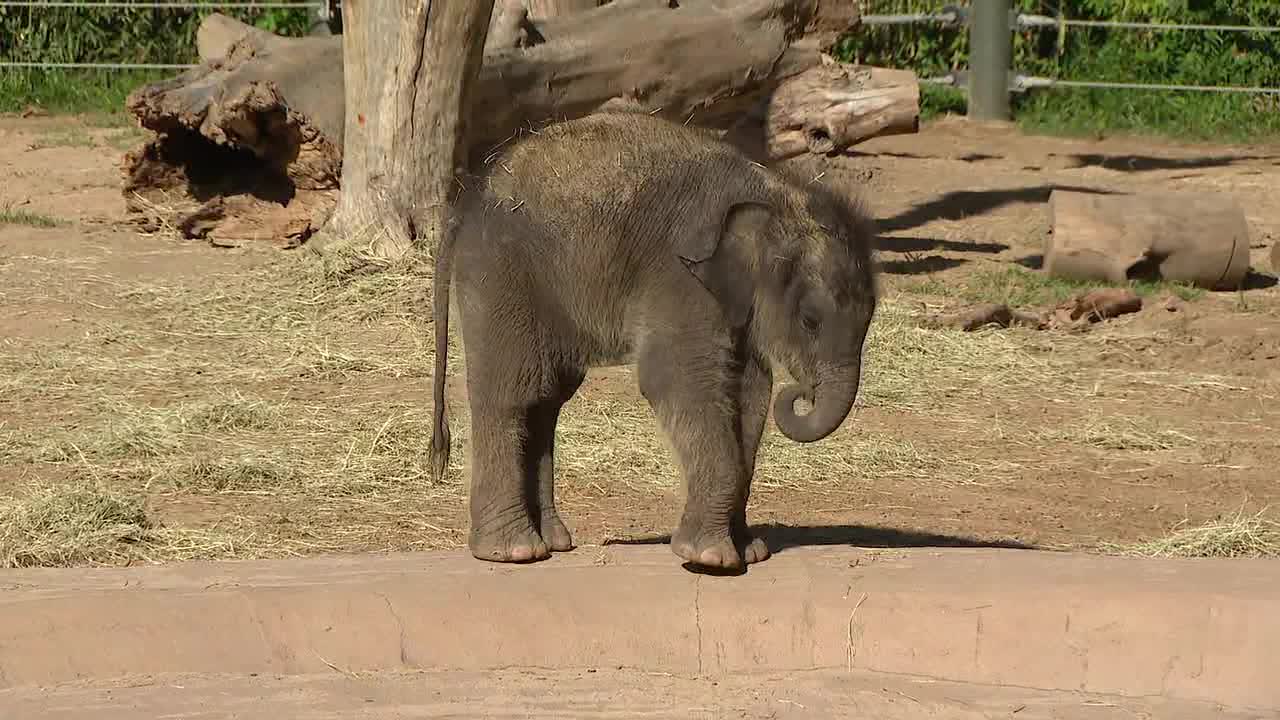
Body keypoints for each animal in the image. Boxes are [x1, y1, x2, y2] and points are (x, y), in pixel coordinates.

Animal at [428, 111, 878, 571]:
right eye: (810, 321)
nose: (802, 392)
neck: (775, 192)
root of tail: (464, 205)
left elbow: (750, 393)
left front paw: (750, 551)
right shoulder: (679, 277)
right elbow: (679, 382)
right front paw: (711, 560)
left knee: (546, 400)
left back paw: (552, 543)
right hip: (501, 276)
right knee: (514, 393)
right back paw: (514, 552)